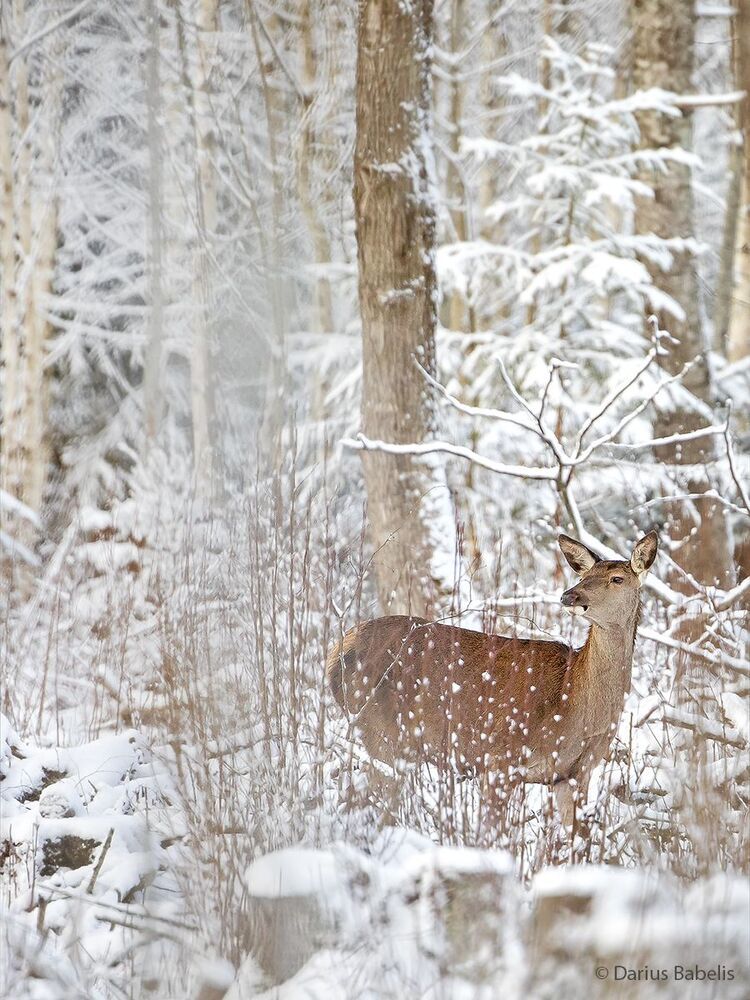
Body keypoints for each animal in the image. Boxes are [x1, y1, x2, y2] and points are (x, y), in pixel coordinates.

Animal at [326, 531, 658, 826]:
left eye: (618, 578)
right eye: (584, 575)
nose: (570, 595)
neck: (574, 702)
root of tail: (336, 650)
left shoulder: (575, 773)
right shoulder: (499, 758)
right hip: (379, 730)